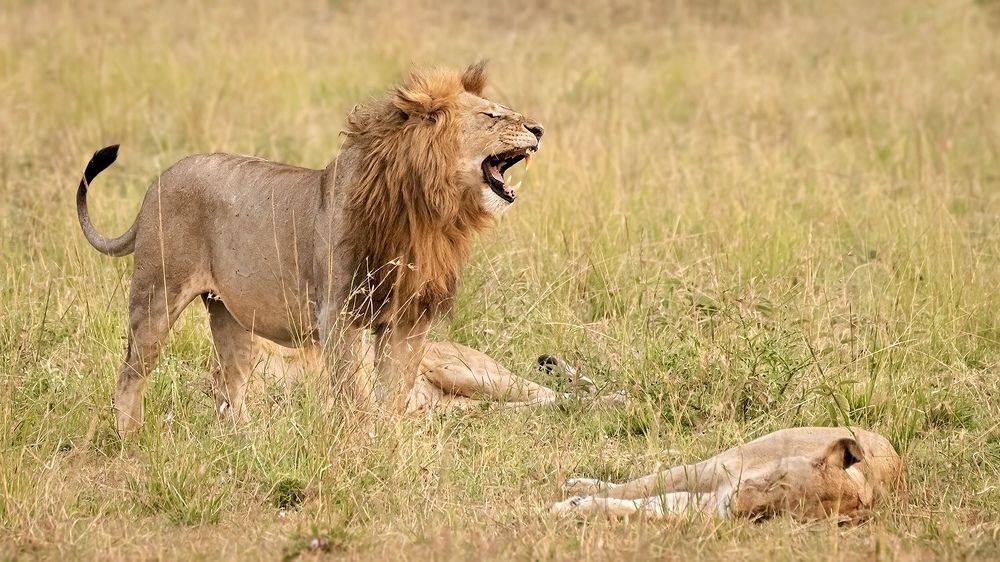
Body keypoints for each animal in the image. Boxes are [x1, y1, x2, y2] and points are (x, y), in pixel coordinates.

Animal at [75, 62, 544, 433]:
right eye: (492, 115)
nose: (538, 129)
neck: (426, 211)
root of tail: (158, 182)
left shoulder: (409, 318)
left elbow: (393, 392)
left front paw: (390, 442)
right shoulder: (338, 314)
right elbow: (356, 394)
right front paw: (361, 446)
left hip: (229, 314)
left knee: (231, 387)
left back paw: (245, 444)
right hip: (158, 294)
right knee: (132, 371)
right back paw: (130, 440)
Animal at [552, 427, 904, 523]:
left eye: (773, 515)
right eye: (778, 482)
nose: (735, 509)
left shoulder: (703, 511)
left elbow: (639, 510)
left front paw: (573, 507)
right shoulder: (704, 474)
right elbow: (635, 488)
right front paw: (569, 499)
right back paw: (576, 481)